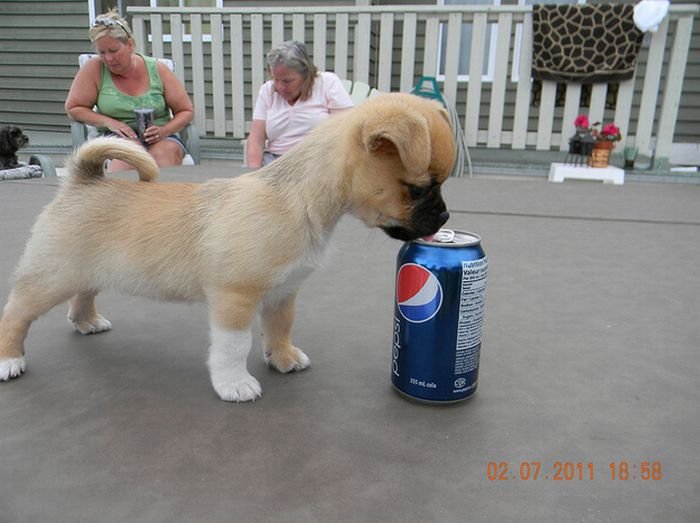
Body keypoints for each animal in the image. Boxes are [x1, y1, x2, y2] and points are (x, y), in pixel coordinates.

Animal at [0, 93, 455, 402]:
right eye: (418, 189)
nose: (446, 218)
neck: (299, 198)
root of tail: (80, 180)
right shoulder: (235, 298)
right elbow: (234, 346)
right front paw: (234, 383)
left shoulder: (283, 293)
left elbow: (280, 328)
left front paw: (282, 357)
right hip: (48, 279)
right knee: (16, 316)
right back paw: (9, 359)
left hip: (88, 271)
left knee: (83, 296)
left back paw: (87, 322)